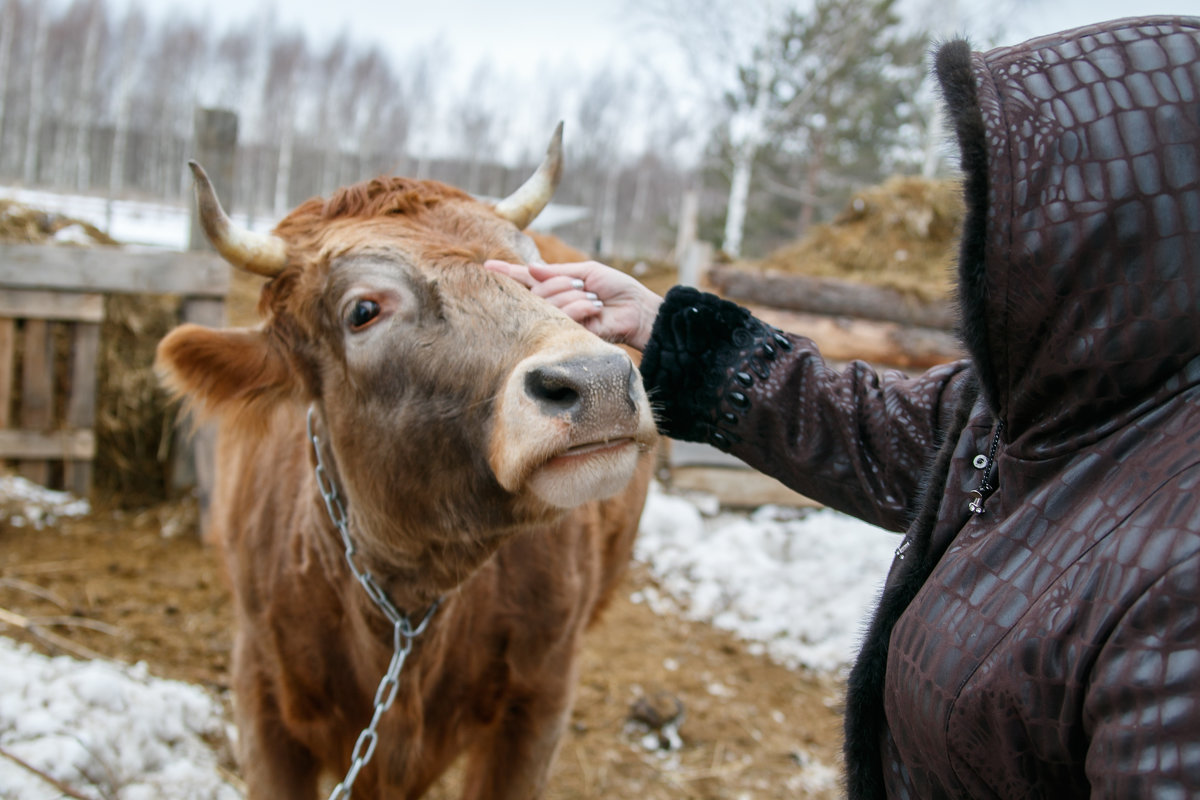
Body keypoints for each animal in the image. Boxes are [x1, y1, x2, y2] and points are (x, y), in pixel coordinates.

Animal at [154, 122, 662, 796]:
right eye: (362, 310)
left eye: (535, 270)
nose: (599, 379)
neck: (402, 613)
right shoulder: (261, 694)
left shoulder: (540, 701)